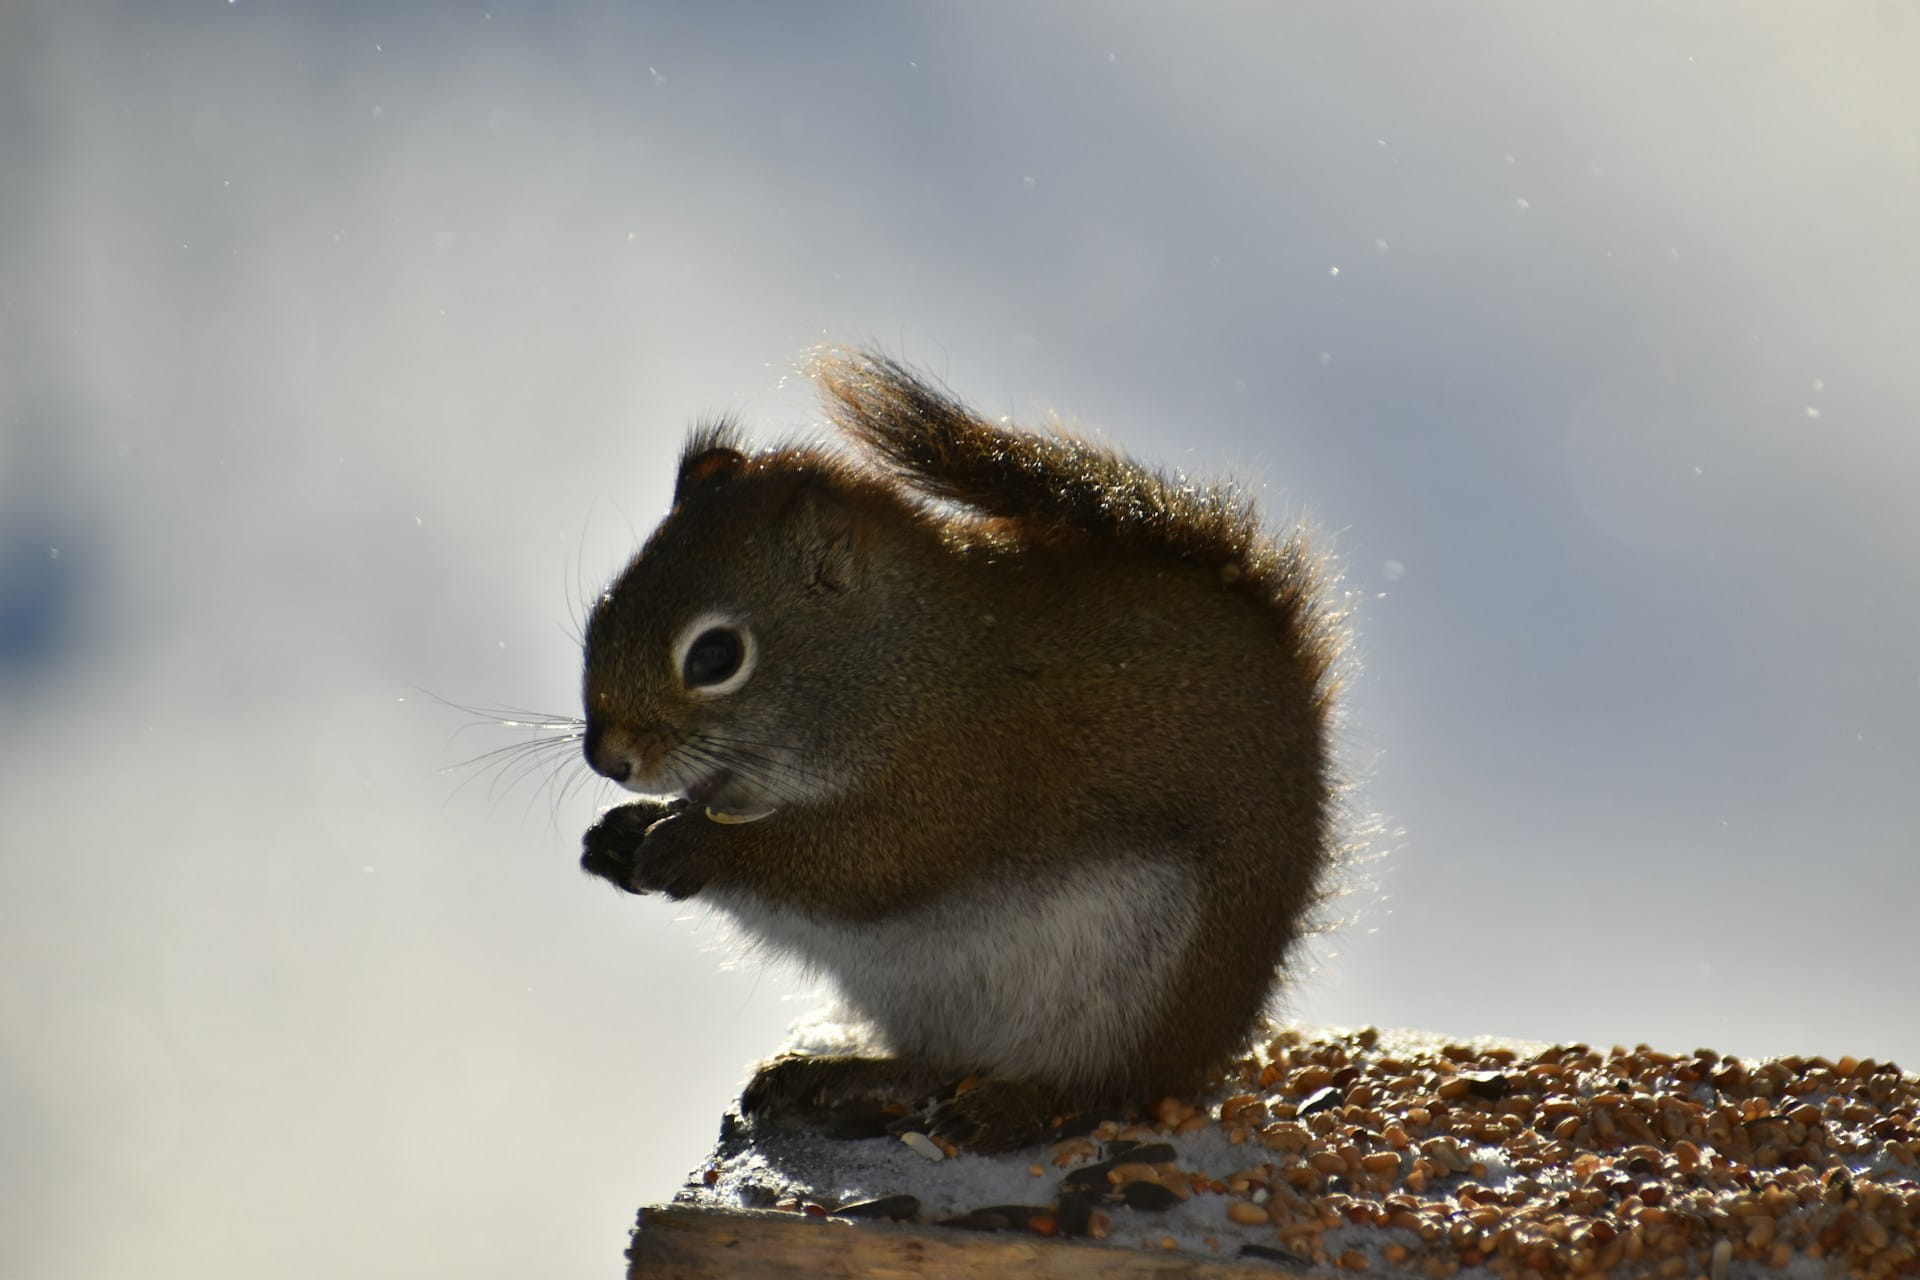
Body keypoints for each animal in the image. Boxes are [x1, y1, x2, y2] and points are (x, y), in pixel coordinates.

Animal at [578, 350, 1344, 1151]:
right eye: (605, 606)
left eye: (715, 655)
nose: (609, 760)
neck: (903, 661)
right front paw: (621, 834)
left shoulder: (961, 776)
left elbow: (863, 864)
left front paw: (691, 846)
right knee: (938, 1063)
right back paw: (836, 1074)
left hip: (1137, 988)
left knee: (1110, 1087)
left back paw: (1015, 1106)